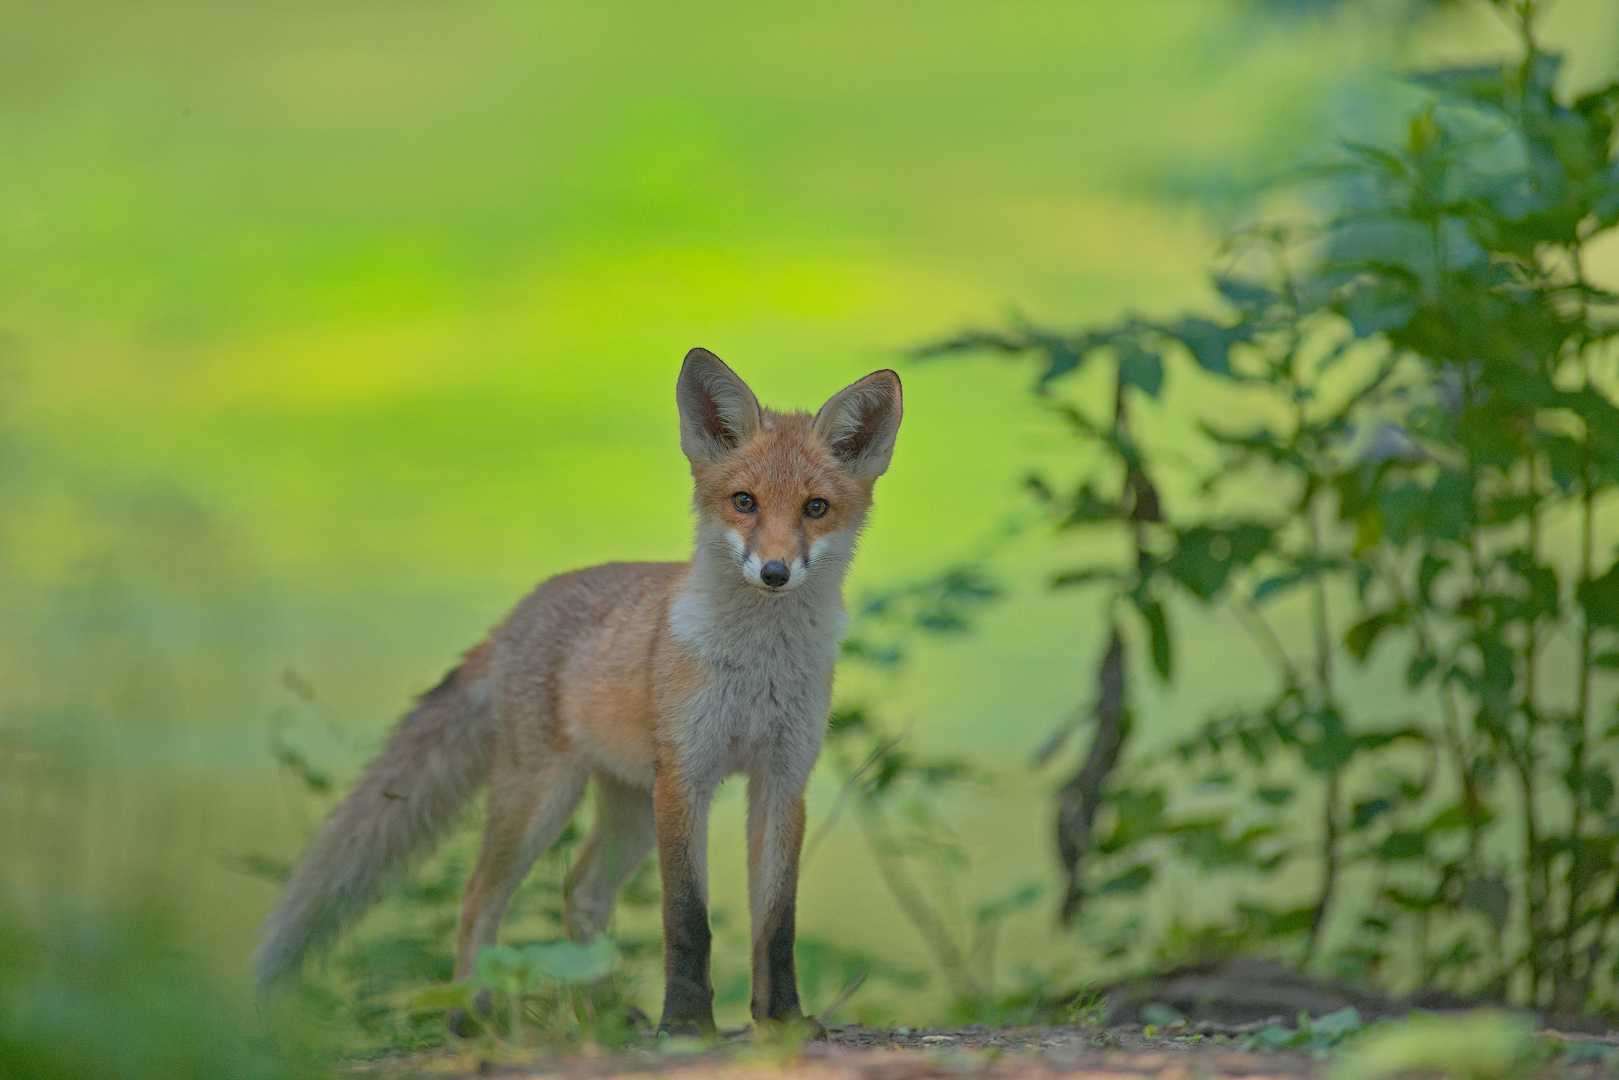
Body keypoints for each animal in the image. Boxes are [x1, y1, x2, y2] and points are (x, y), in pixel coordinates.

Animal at [259, 351, 906, 1036]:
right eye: (744, 502)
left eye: (815, 508)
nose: (775, 572)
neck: (759, 666)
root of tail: (522, 609)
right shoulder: (686, 779)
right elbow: (687, 921)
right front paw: (684, 1025)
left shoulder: (783, 779)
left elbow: (777, 924)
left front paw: (780, 1021)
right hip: (543, 798)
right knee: (478, 899)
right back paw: (474, 1015)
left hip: (629, 807)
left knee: (581, 893)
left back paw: (598, 1017)